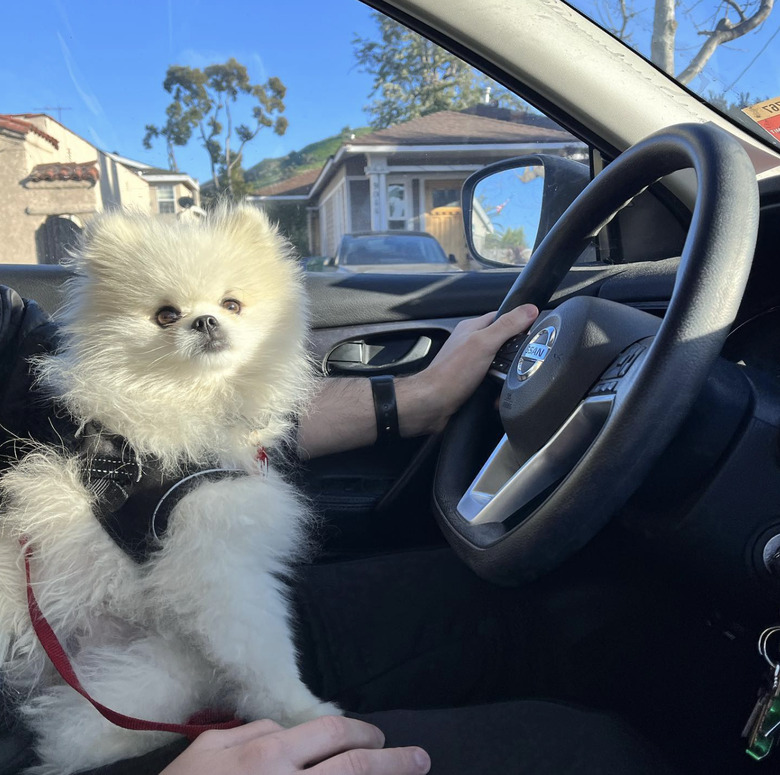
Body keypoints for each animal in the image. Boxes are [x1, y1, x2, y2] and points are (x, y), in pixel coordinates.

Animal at [0, 206, 338, 775]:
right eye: (165, 315)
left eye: (231, 304)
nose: (204, 321)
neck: (189, 399)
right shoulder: (213, 559)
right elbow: (261, 647)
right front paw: (302, 713)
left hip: (147, 669)